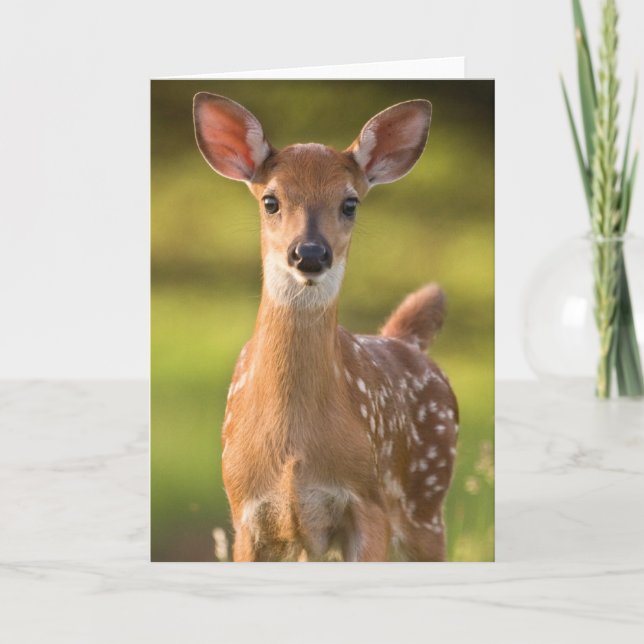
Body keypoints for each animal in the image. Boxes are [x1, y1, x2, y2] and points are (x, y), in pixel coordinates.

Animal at [193, 92, 459, 561]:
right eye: (271, 201)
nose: (311, 254)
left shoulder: (368, 503)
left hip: (427, 497)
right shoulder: (246, 513)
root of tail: (405, 340)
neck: (293, 448)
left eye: (350, 203)